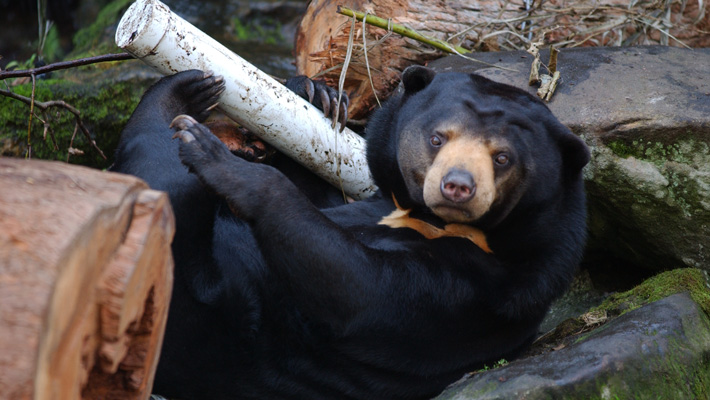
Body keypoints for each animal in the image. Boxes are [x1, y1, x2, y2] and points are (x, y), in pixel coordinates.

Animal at [110, 67, 588, 398]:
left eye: (502, 158)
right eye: (438, 138)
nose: (457, 186)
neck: (426, 218)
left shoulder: (480, 294)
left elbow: (356, 288)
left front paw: (226, 165)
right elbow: (322, 192)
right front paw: (317, 93)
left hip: (195, 306)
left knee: (161, 177)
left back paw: (181, 117)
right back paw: (189, 89)